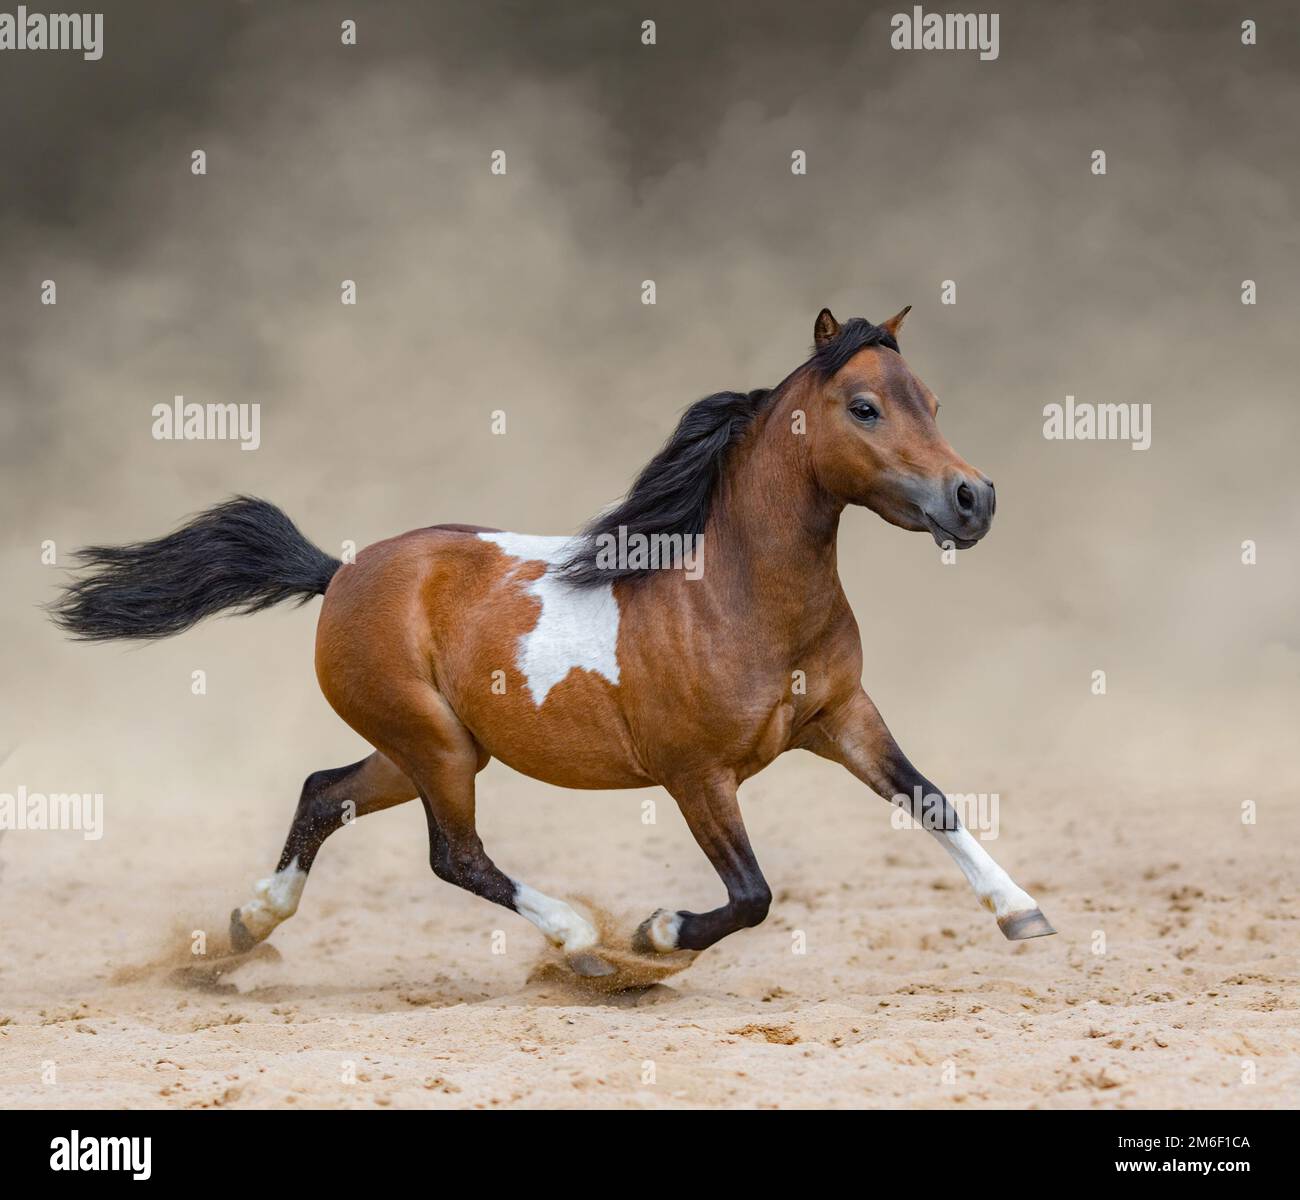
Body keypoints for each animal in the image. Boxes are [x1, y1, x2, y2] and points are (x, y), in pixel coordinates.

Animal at [48, 309, 1055, 982]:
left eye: (931, 400)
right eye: (865, 406)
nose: (974, 499)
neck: (732, 594)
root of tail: (340, 574)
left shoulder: (843, 717)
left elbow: (931, 800)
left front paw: (1025, 914)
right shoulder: (696, 775)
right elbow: (752, 894)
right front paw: (654, 936)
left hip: (427, 746)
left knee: (324, 794)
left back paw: (246, 927)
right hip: (437, 748)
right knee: (454, 856)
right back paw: (582, 944)